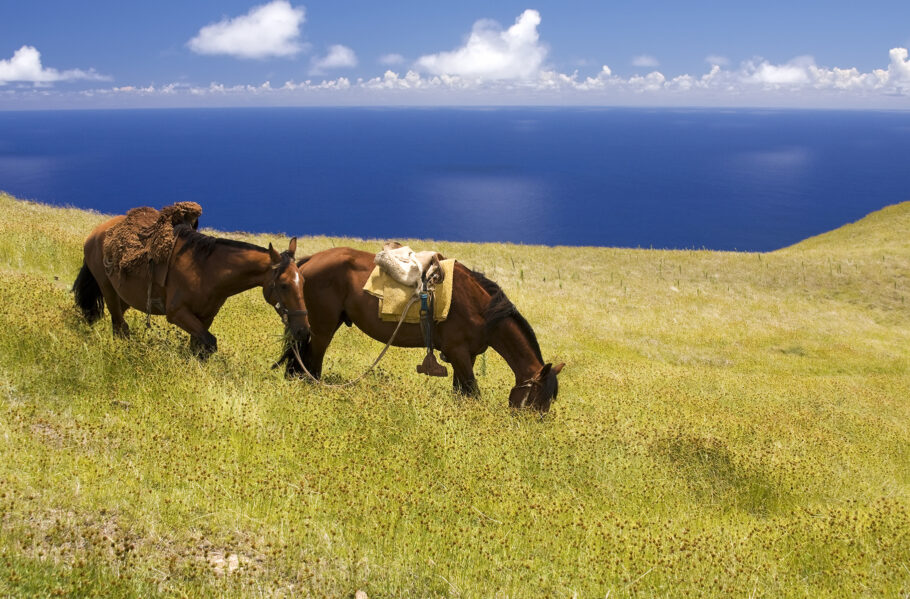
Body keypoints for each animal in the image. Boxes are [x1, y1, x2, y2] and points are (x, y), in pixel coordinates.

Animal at [72, 216, 314, 356]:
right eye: (283, 285)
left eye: (302, 281)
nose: (303, 331)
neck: (206, 271)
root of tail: (97, 232)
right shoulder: (177, 314)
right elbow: (210, 343)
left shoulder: (205, 317)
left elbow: (198, 346)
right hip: (108, 290)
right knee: (119, 326)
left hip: (125, 296)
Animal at [276, 246, 564, 410]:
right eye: (537, 400)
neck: (480, 308)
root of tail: (309, 261)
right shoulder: (459, 353)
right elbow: (472, 393)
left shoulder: (465, 356)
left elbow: (461, 394)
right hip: (322, 329)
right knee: (311, 362)